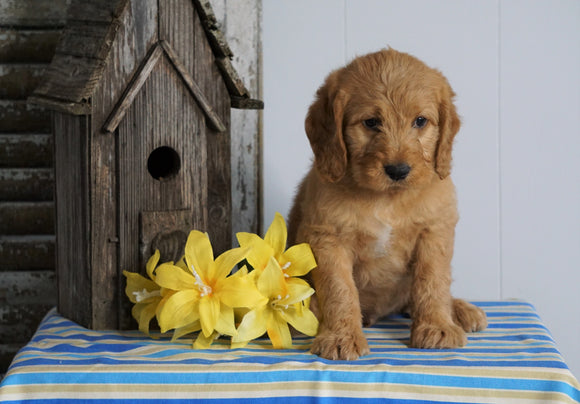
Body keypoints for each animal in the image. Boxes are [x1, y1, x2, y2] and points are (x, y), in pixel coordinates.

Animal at [288, 49, 488, 362]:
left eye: (420, 121)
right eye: (371, 122)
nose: (398, 170)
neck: (387, 199)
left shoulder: (434, 231)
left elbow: (433, 281)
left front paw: (438, 327)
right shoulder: (328, 238)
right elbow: (339, 289)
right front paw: (341, 336)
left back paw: (461, 310)